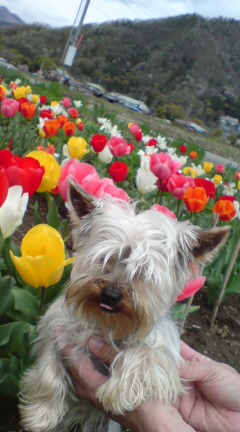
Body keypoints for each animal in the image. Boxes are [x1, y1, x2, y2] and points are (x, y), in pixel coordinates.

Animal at [19, 181, 231, 430]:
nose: (110, 295)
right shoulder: (56, 330)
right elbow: (48, 369)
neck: (107, 323)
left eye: (142, 272)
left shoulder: (163, 352)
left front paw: (119, 393)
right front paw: (42, 414)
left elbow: (146, 355)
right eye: (105, 259)